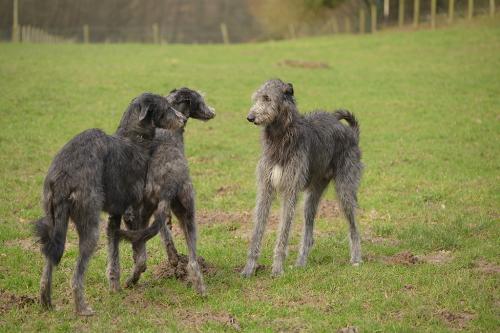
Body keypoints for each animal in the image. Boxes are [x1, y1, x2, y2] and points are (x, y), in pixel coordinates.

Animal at [33, 92, 186, 314]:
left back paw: (46, 301)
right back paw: (82, 309)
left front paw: (115, 286)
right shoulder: (132, 212)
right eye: (166, 107)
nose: (183, 119)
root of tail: (64, 175)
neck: (134, 138)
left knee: (49, 259)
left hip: (52, 219)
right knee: (76, 274)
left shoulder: (115, 216)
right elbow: (141, 254)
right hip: (89, 224)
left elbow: (114, 254)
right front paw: (133, 278)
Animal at [108, 87, 216, 294]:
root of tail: (170, 184)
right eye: (201, 100)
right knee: (191, 261)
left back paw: (131, 278)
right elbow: (165, 232)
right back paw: (200, 288)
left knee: (142, 253)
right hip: (186, 214)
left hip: (150, 210)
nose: (212, 112)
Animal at [240, 79, 362, 276]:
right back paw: (300, 262)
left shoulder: (290, 190)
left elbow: (283, 233)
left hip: (345, 188)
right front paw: (249, 268)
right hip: (312, 194)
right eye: (257, 97)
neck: (280, 137)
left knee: (354, 227)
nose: (250, 117)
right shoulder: (266, 188)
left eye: (267, 98)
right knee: (309, 230)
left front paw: (277, 269)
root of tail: (352, 134)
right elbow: (257, 230)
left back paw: (356, 259)